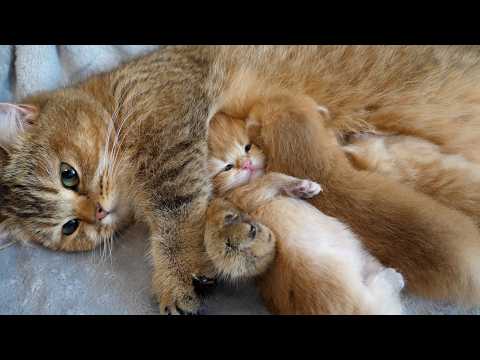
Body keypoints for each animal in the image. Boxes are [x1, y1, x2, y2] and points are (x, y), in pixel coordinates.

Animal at [206, 113, 404, 316]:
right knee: (381, 293)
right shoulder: (242, 197)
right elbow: (272, 176)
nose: (246, 164)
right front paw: (303, 186)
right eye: (227, 168)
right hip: (359, 295)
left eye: (248, 146)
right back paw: (393, 277)